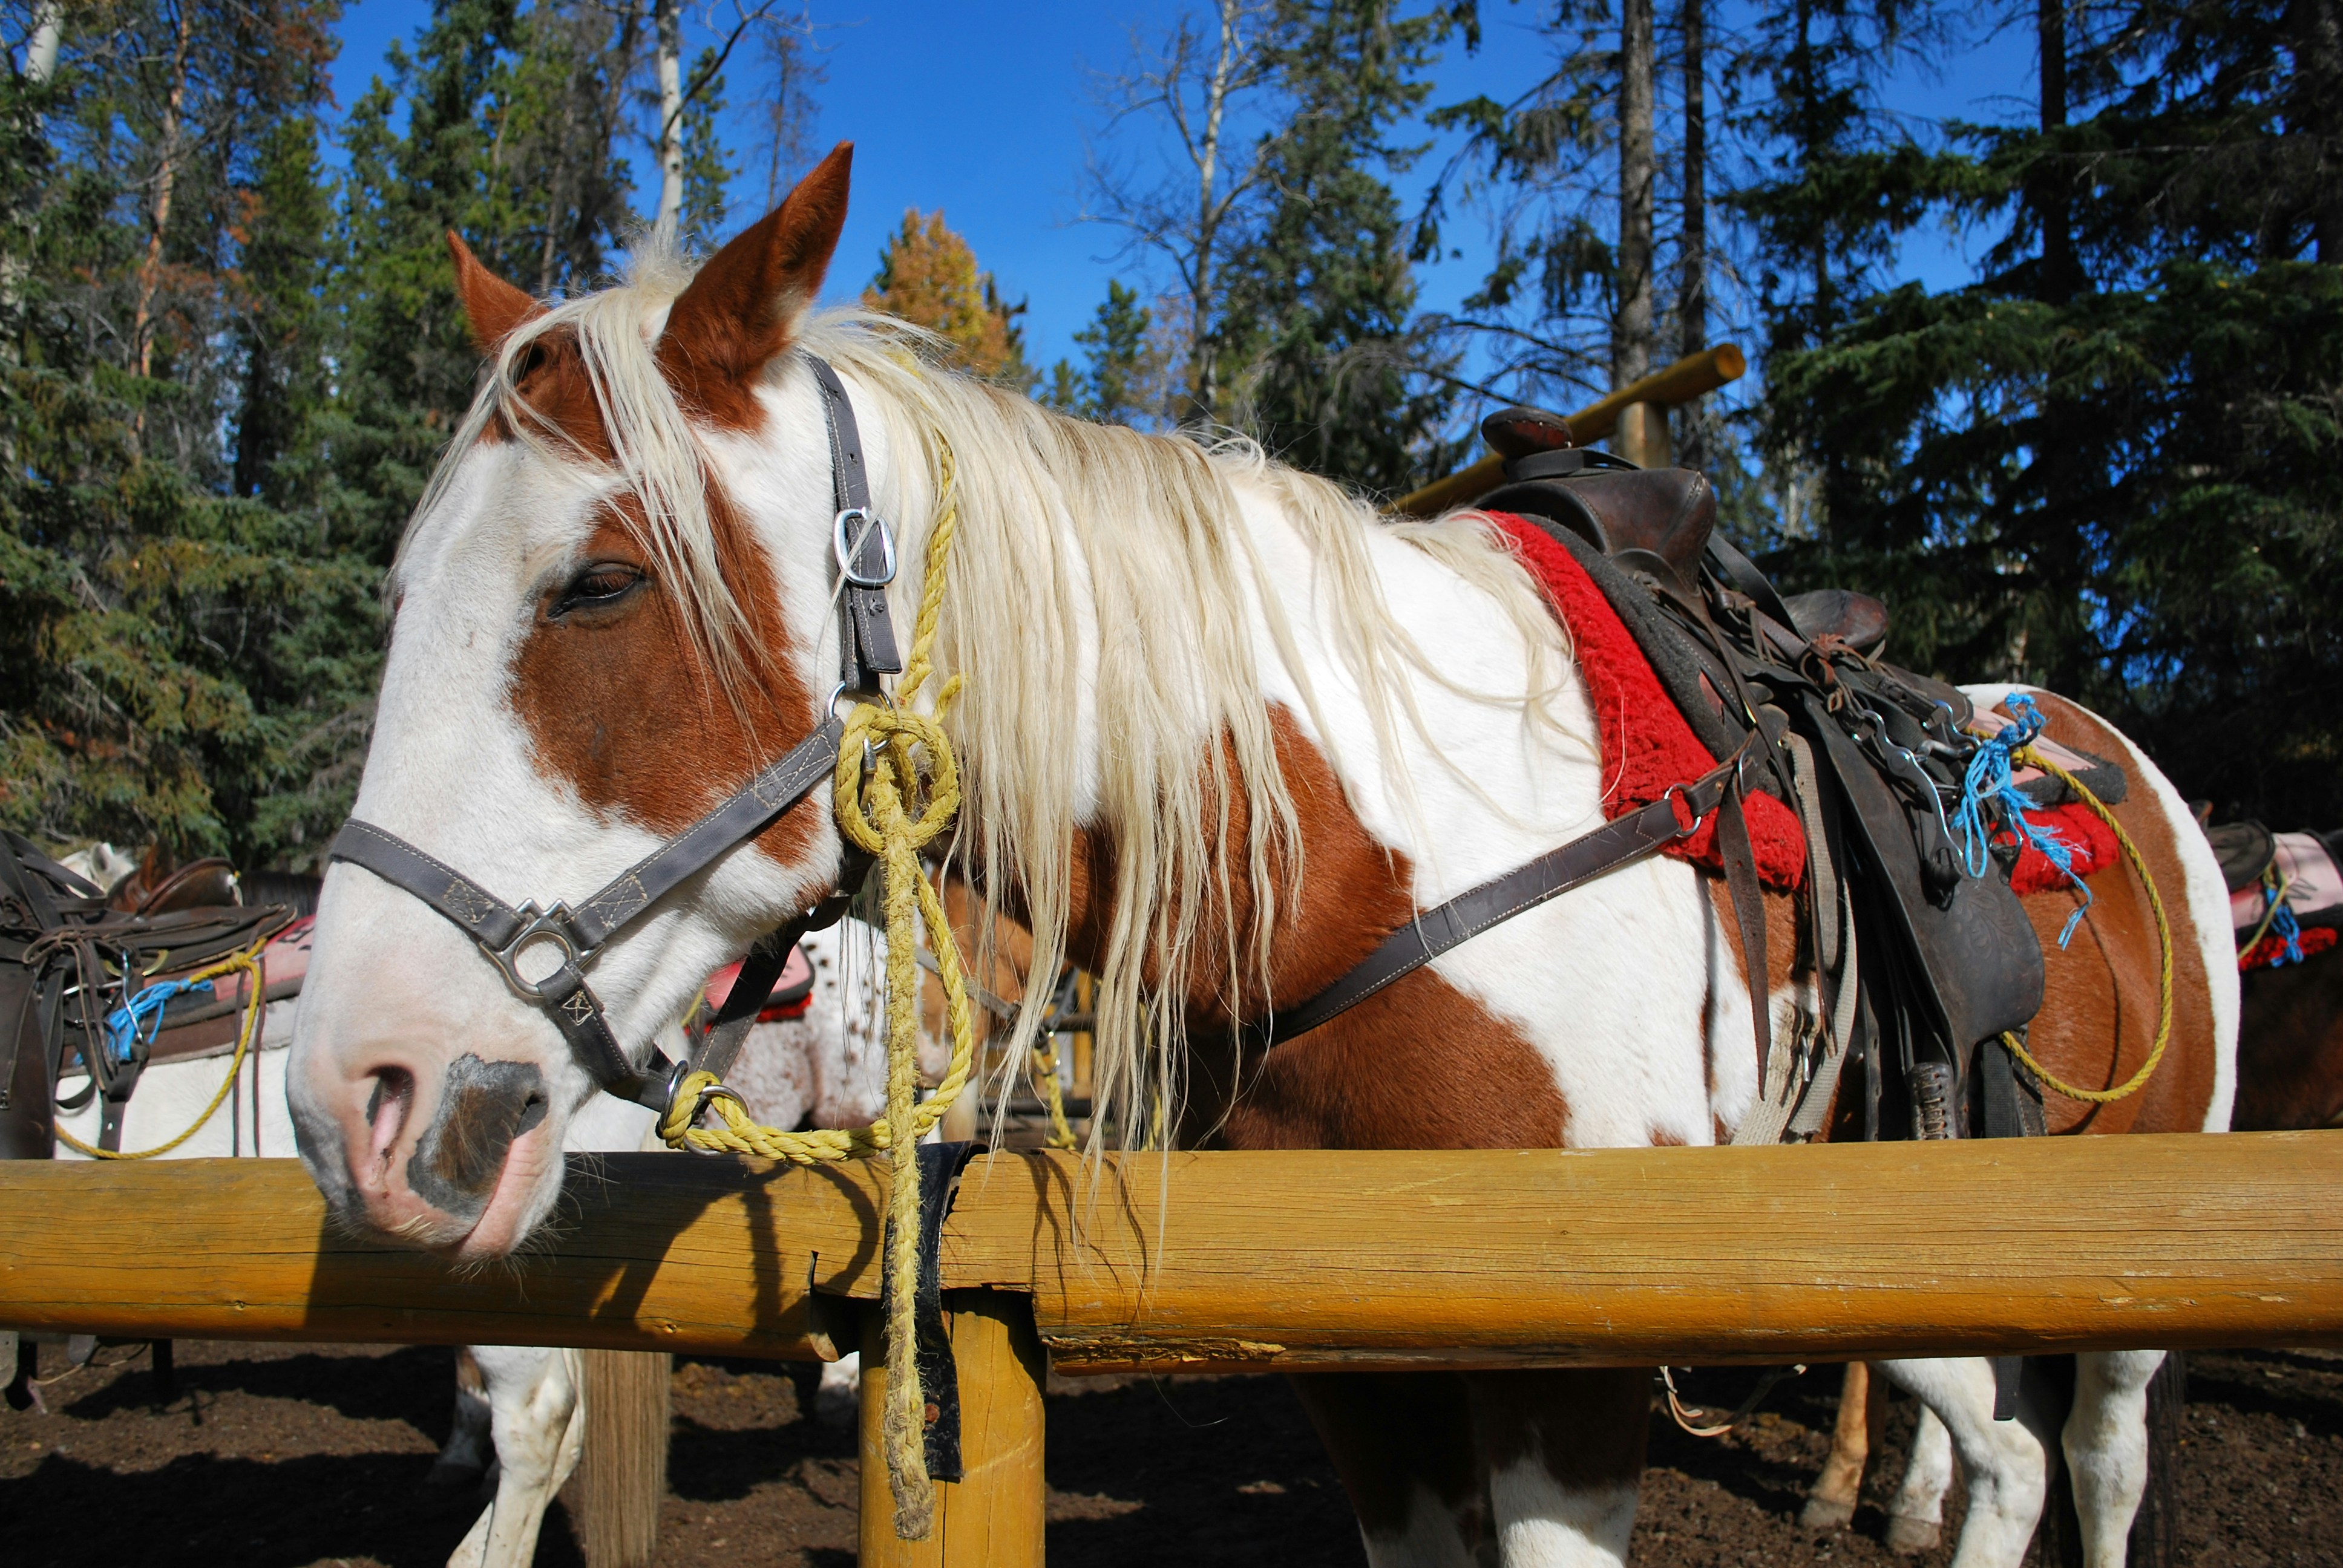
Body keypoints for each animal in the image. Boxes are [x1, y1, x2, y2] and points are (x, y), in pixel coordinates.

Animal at [282, 142, 2236, 1568]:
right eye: (398, 596)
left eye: (602, 582)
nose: (357, 1096)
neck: (1392, 870)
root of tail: (2114, 757)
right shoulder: (1363, 1367)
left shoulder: (1572, 1369)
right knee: (2003, 1449)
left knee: (2089, 1456)